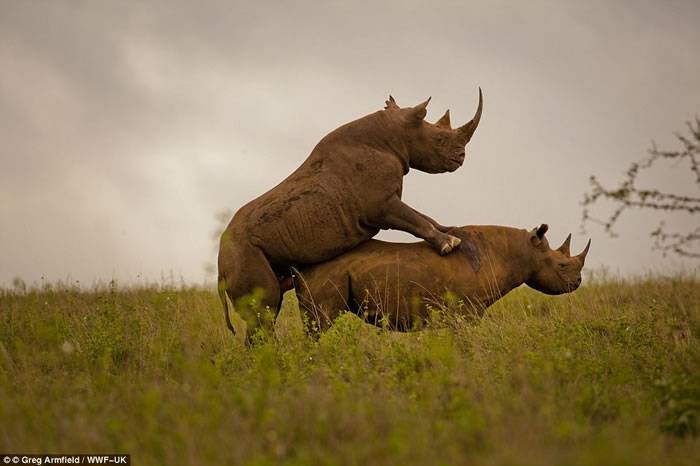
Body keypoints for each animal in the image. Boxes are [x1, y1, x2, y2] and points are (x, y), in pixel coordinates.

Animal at [217, 91, 482, 338]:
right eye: (439, 139)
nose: (461, 157)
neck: (395, 133)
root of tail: (219, 263)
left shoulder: (384, 201)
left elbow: (424, 217)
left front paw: (450, 230)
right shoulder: (380, 205)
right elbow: (415, 220)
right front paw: (449, 244)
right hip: (241, 251)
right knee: (266, 312)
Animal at [296, 223, 592, 330]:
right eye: (562, 265)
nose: (578, 283)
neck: (520, 252)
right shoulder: (468, 310)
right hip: (327, 272)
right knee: (318, 326)